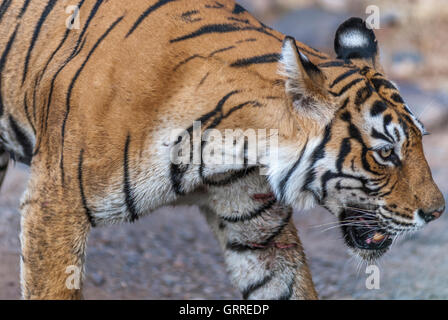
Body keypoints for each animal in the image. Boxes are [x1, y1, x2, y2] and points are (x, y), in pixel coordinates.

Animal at [0, 0, 442, 300]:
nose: (437, 212)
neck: (234, 147)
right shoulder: (57, 207)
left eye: (419, 141)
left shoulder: (258, 230)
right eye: (385, 153)